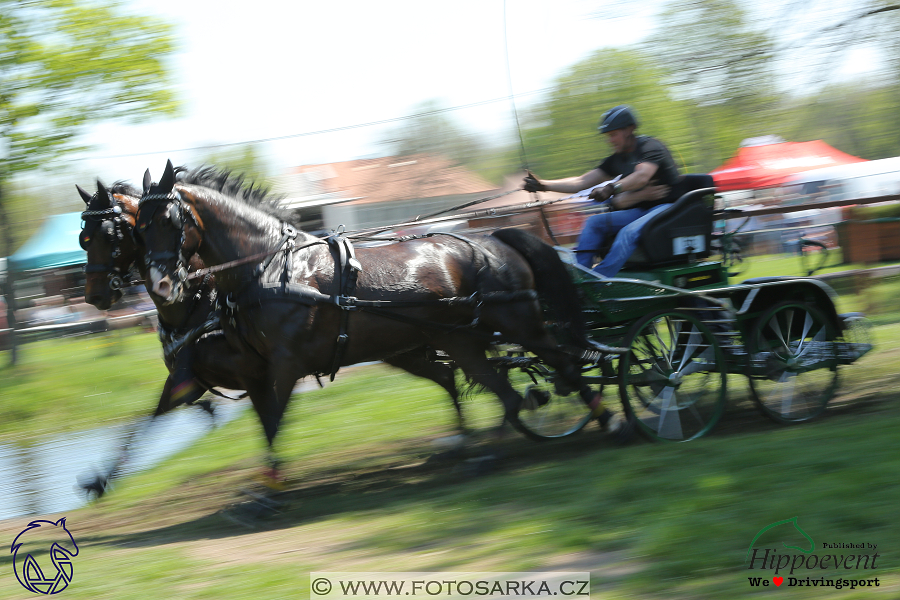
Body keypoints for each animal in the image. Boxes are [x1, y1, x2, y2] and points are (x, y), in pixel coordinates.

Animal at [134, 159, 596, 460]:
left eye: (169, 221)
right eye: (138, 226)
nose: (160, 285)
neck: (272, 266)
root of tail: (493, 238)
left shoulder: (284, 363)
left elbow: (275, 420)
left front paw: (267, 492)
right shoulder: (253, 367)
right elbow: (261, 421)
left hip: (520, 325)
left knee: (562, 362)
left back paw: (598, 415)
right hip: (450, 342)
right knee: (501, 388)